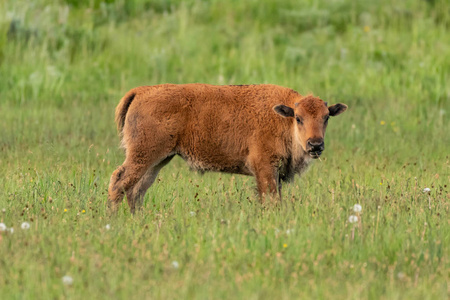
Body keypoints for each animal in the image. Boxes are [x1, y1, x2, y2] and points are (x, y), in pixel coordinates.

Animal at [107, 83, 346, 212]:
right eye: (298, 118)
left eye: (326, 117)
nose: (315, 144)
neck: (282, 118)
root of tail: (141, 91)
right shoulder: (265, 168)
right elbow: (270, 199)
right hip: (144, 155)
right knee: (119, 181)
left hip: (158, 160)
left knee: (136, 191)